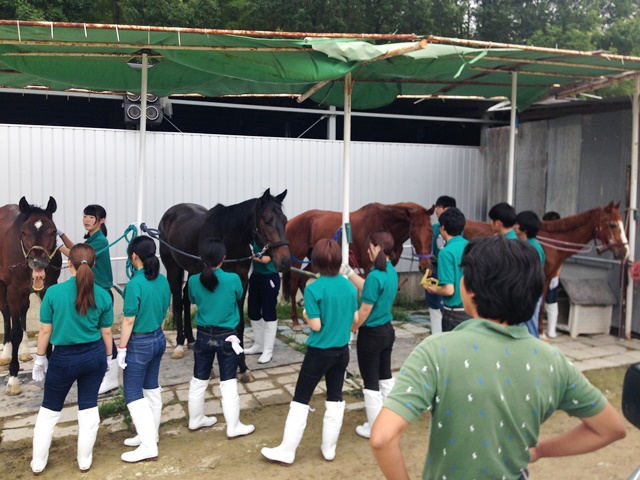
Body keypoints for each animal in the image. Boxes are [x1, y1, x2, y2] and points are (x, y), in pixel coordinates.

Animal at [0, 197, 62, 396]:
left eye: (53, 231)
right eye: (23, 232)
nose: (38, 262)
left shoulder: (47, 289)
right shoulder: (13, 291)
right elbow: (15, 331)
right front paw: (13, 379)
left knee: (24, 310)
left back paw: (25, 350)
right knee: (6, 313)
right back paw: (6, 352)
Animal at [159, 189, 292, 380]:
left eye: (285, 220)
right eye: (267, 220)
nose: (285, 261)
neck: (227, 237)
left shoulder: (242, 281)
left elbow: (240, 325)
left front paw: (243, 367)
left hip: (192, 271)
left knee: (185, 298)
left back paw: (191, 340)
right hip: (173, 267)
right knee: (178, 301)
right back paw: (179, 345)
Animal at [284, 202, 436, 330]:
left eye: (431, 231)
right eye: (413, 233)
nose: (424, 266)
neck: (383, 225)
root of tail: (291, 221)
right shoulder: (369, 267)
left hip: (316, 261)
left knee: (302, 281)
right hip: (297, 259)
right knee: (293, 285)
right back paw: (296, 321)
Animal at [462, 202, 628, 334]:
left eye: (621, 224)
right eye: (613, 225)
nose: (625, 252)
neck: (552, 242)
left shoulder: (548, 278)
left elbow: (542, 306)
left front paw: (541, 332)